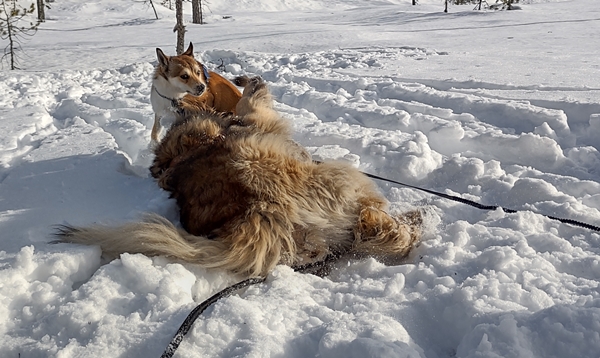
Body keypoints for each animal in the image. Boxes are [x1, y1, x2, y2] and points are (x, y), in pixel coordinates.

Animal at [55, 75, 422, 278]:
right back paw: (413, 222)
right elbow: (252, 104)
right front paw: (252, 84)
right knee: (376, 222)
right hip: (329, 174)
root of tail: (256, 211)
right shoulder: (257, 121)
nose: (179, 102)